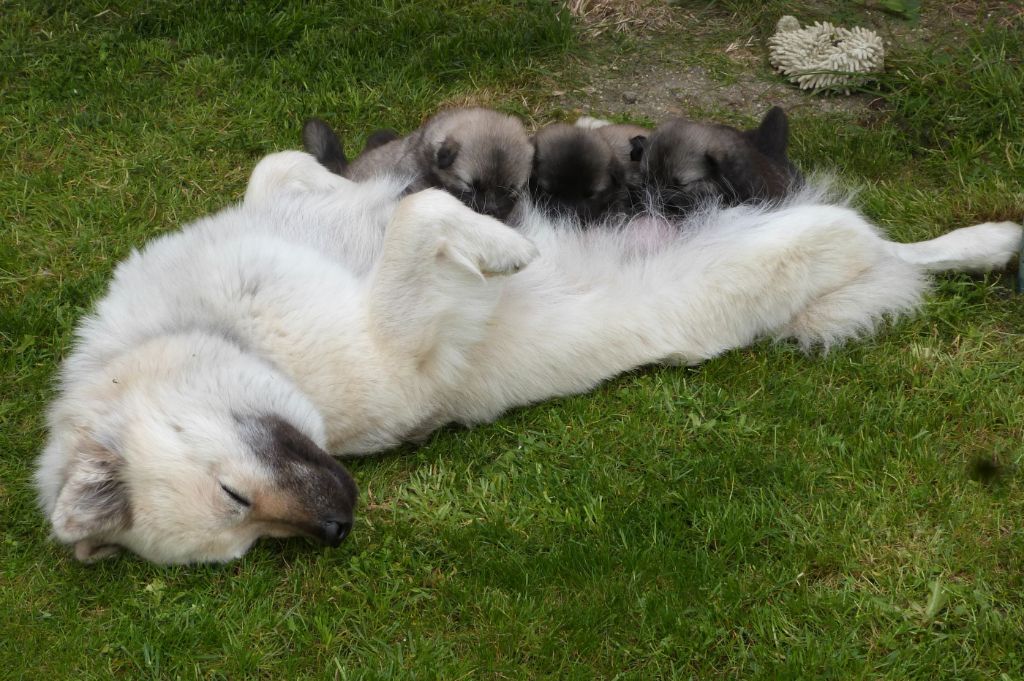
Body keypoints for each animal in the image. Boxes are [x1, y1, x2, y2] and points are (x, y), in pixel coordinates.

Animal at [34, 150, 1024, 561]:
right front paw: (504, 249)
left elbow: (307, 176)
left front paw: (378, 190)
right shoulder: (393, 346)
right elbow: (419, 215)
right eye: (243, 524)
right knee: (902, 256)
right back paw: (991, 245)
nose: (339, 528)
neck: (200, 322)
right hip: (810, 245)